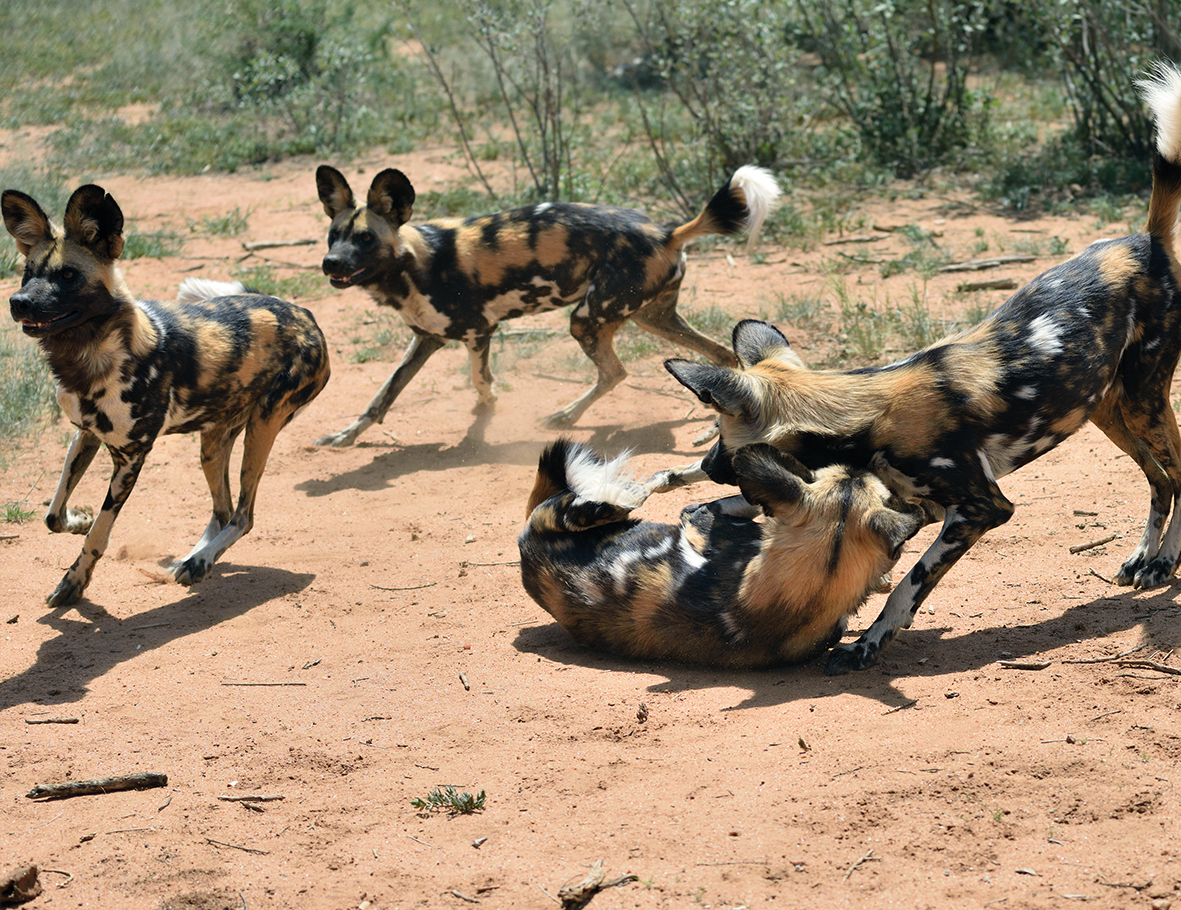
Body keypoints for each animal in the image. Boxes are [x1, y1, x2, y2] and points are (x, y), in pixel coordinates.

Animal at [3, 182, 333, 613]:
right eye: (28, 274)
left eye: (68, 275)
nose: (18, 301)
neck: (90, 356)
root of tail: (301, 311)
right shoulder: (85, 435)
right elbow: (53, 515)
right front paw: (78, 521)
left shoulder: (130, 459)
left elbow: (99, 534)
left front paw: (74, 582)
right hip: (212, 443)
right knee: (223, 509)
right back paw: (194, 559)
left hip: (261, 429)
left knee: (243, 515)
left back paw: (201, 560)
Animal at [311, 165, 784, 450]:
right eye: (333, 236)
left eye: (365, 239)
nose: (330, 263)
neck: (411, 265)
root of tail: (668, 232)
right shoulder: (425, 340)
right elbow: (382, 396)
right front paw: (345, 436)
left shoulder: (479, 332)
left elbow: (480, 381)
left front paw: (485, 417)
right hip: (651, 317)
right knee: (718, 354)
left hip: (587, 318)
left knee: (616, 371)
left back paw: (567, 416)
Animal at [522, 436, 925, 665]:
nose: (863, 463)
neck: (814, 591)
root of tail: (528, 559)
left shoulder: (699, 518)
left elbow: (717, 506)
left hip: (556, 516)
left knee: (599, 502)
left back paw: (626, 492)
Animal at [656, 62, 1181, 675]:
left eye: (720, 434)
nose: (707, 463)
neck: (865, 417)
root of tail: (1146, 242)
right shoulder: (917, 505)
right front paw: (701, 514)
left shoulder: (980, 509)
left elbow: (912, 580)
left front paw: (869, 641)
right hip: (1107, 411)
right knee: (1160, 478)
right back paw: (1145, 557)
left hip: (1145, 402)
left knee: (1177, 471)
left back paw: (1162, 562)